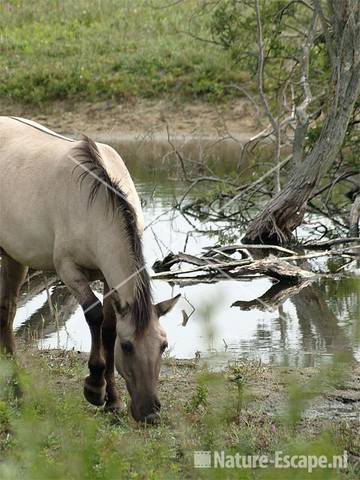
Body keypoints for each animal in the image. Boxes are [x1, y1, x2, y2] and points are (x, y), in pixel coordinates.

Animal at [0, 116, 180, 424]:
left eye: (163, 346)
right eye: (128, 346)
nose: (150, 413)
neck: (93, 203)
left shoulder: (108, 279)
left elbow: (108, 326)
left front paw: (113, 400)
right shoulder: (68, 270)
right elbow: (94, 316)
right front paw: (95, 387)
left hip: (14, 256)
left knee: (8, 308)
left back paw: (15, 384)